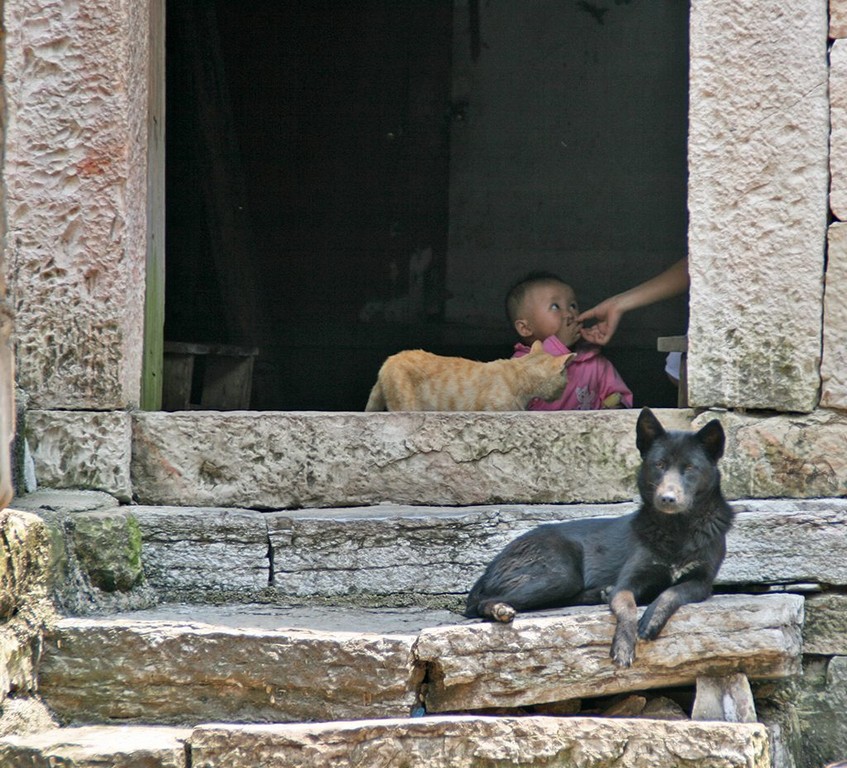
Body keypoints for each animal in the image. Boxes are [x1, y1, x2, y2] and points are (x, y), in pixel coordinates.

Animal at [464, 408, 736, 664]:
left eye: (689, 468)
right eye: (659, 465)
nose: (667, 499)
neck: (677, 529)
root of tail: (492, 566)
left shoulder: (702, 583)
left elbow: (672, 592)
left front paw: (651, 619)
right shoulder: (627, 583)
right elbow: (627, 606)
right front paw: (624, 646)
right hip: (559, 574)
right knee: (479, 603)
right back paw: (500, 609)